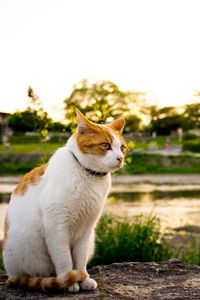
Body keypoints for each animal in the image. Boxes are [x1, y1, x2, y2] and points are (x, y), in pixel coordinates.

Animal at [2, 109, 126, 292]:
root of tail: (11, 275)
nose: (120, 158)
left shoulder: (86, 229)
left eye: (122, 147)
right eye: (106, 146)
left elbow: (80, 259)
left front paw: (83, 278)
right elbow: (64, 259)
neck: (88, 175)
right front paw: (70, 280)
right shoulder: (57, 226)